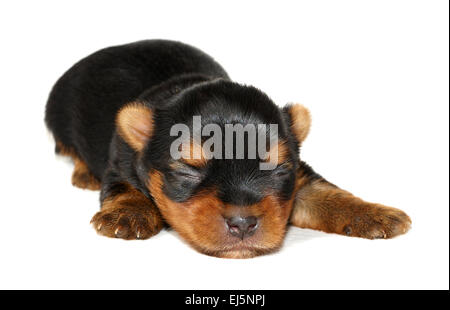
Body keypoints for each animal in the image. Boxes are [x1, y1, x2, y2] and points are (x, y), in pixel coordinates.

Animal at [45, 40, 412, 260]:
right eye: (188, 169)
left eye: (277, 169)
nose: (243, 224)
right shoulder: (120, 164)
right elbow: (123, 187)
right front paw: (129, 213)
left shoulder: (299, 179)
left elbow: (328, 194)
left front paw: (375, 213)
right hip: (58, 117)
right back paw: (83, 174)